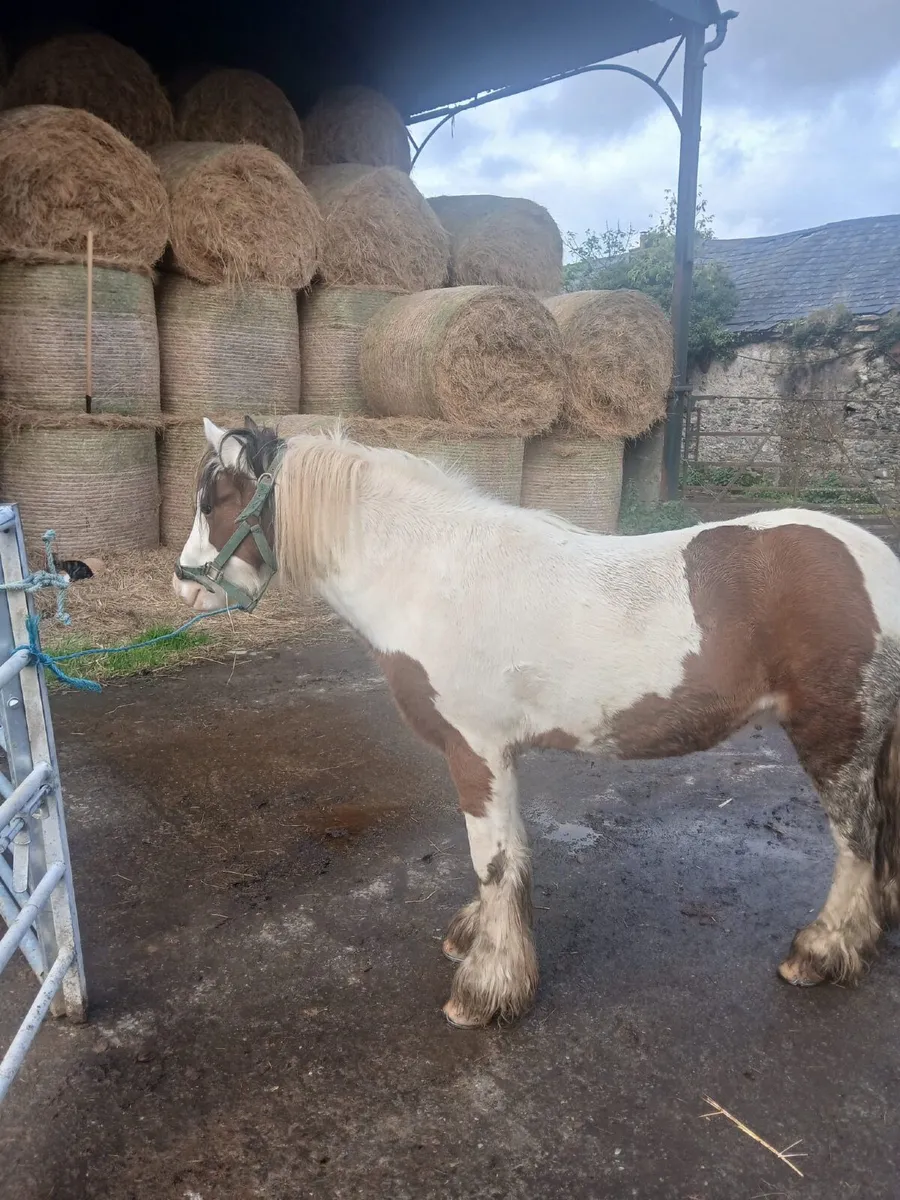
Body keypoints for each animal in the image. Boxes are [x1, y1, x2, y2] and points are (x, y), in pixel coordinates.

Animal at [173, 416, 900, 1028]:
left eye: (212, 501)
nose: (183, 584)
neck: (430, 575)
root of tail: (877, 563)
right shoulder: (500, 755)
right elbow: (510, 854)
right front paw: (478, 940)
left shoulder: (474, 750)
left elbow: (493, 859)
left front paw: (486, 988)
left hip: (835, 736)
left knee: (857, 842)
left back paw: (821, 952)